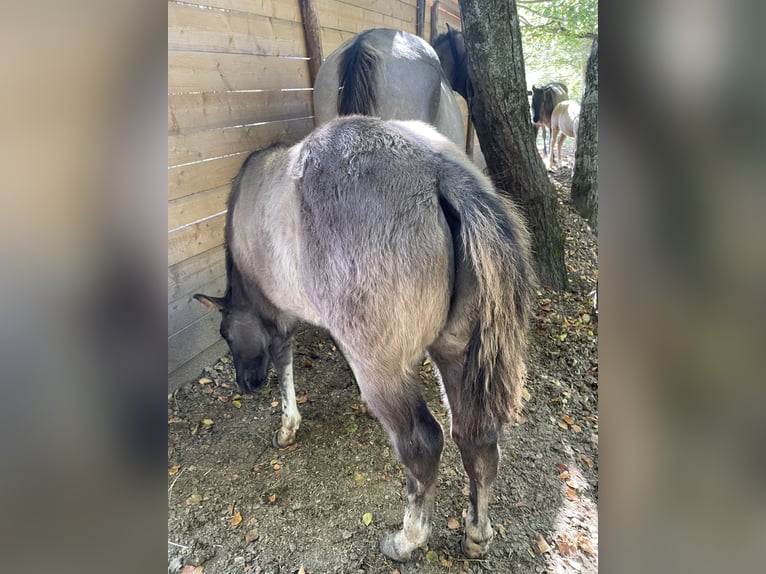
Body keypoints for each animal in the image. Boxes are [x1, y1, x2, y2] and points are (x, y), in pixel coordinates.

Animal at [194, 116, 536, 562]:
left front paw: (288, 426)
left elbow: (284, 363)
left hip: (383, 368)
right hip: (457, 353)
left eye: (226, 334)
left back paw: (408, 539)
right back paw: (477, 533)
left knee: (423, 445)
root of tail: (441, 173)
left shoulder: (276, 318)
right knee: (476, 439)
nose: (246, 384)